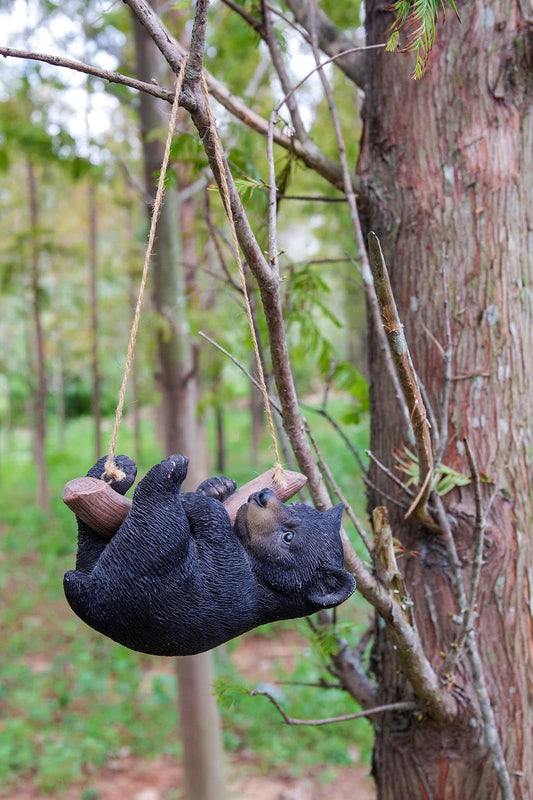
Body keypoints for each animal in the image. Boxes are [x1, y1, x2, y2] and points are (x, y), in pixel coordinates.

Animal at [63, 454, 356, 656]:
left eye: (288, 537)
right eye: (295, 504)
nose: (263, 494)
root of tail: (82, 589)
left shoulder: (236, 582)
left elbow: (217, 546)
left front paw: (199, 500)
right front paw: (217, 486)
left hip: (144, 570)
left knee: (153, 525)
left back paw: (170, 470)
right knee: (90, 547)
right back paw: (114, 469)